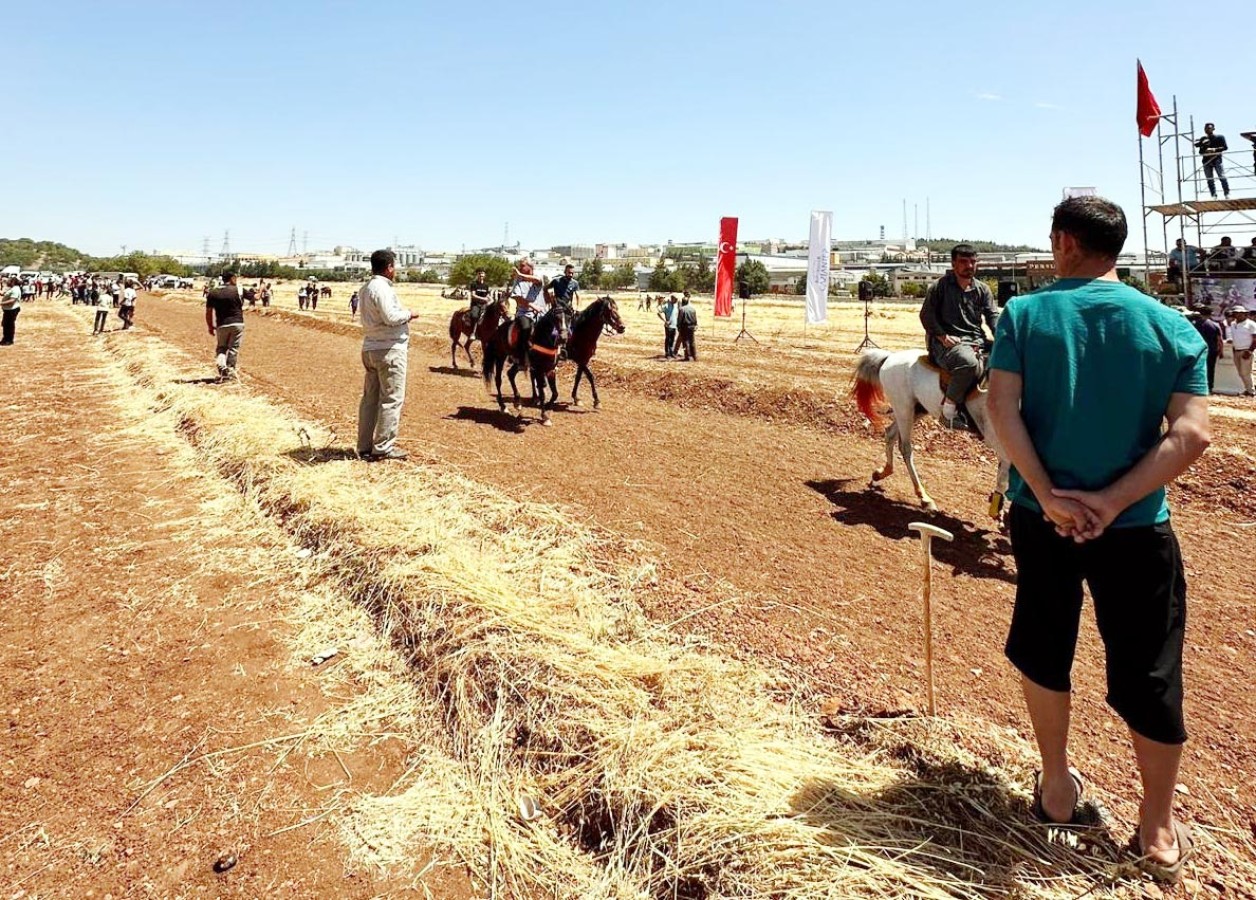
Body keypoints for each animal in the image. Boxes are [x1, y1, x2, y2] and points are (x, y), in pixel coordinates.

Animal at [854, 346, 1009, 517]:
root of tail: (890, 357)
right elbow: (1004, 479)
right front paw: (997, 511)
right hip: (904, 408)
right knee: (905, 448)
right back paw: (925, 498)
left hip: (917, 410)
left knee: (890, 434)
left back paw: (882, 473)